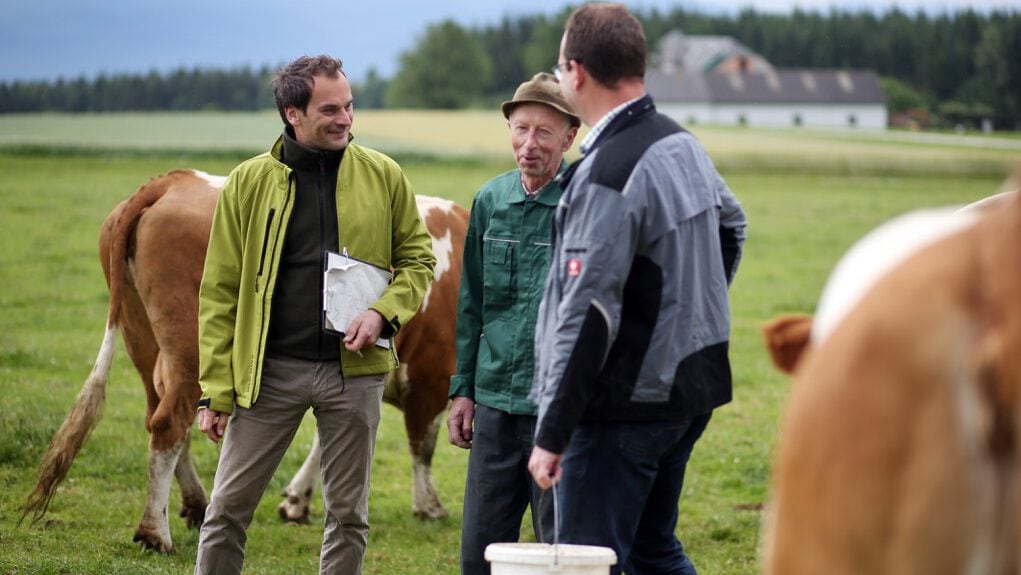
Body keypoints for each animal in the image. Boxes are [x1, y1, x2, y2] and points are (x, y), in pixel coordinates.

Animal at [20, 170, 467, 551]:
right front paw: (429, 506)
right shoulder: (429, 377)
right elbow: (422, 446)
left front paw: (297, 500)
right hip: (190, 348)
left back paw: (195, 505)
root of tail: (170, 182)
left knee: (162, 419)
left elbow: (326, 442)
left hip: (143, 342)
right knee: (169, 423)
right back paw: (154, 532)